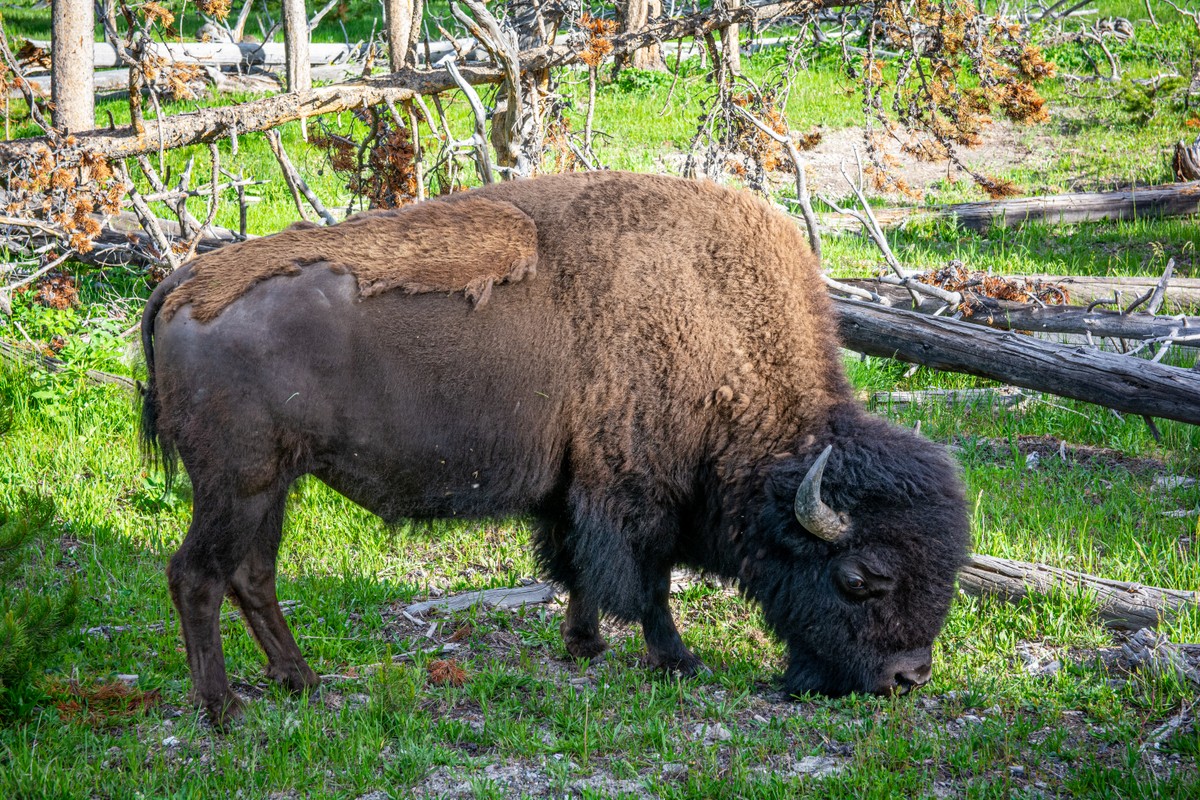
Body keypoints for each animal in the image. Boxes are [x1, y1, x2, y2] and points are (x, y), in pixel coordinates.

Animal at [138, 172, 964, 724]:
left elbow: (577, 573)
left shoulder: (571, 492)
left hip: (272, 487)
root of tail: (188, 279)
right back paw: (223, 709)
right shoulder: (633, 494)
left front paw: (584, 645)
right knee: (197, 577)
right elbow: (645, 584)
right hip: (238, 485)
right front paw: (677, 660)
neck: (717, 333)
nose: (907, 679)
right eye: (860, 578)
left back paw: (300, 682)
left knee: (252, 576)